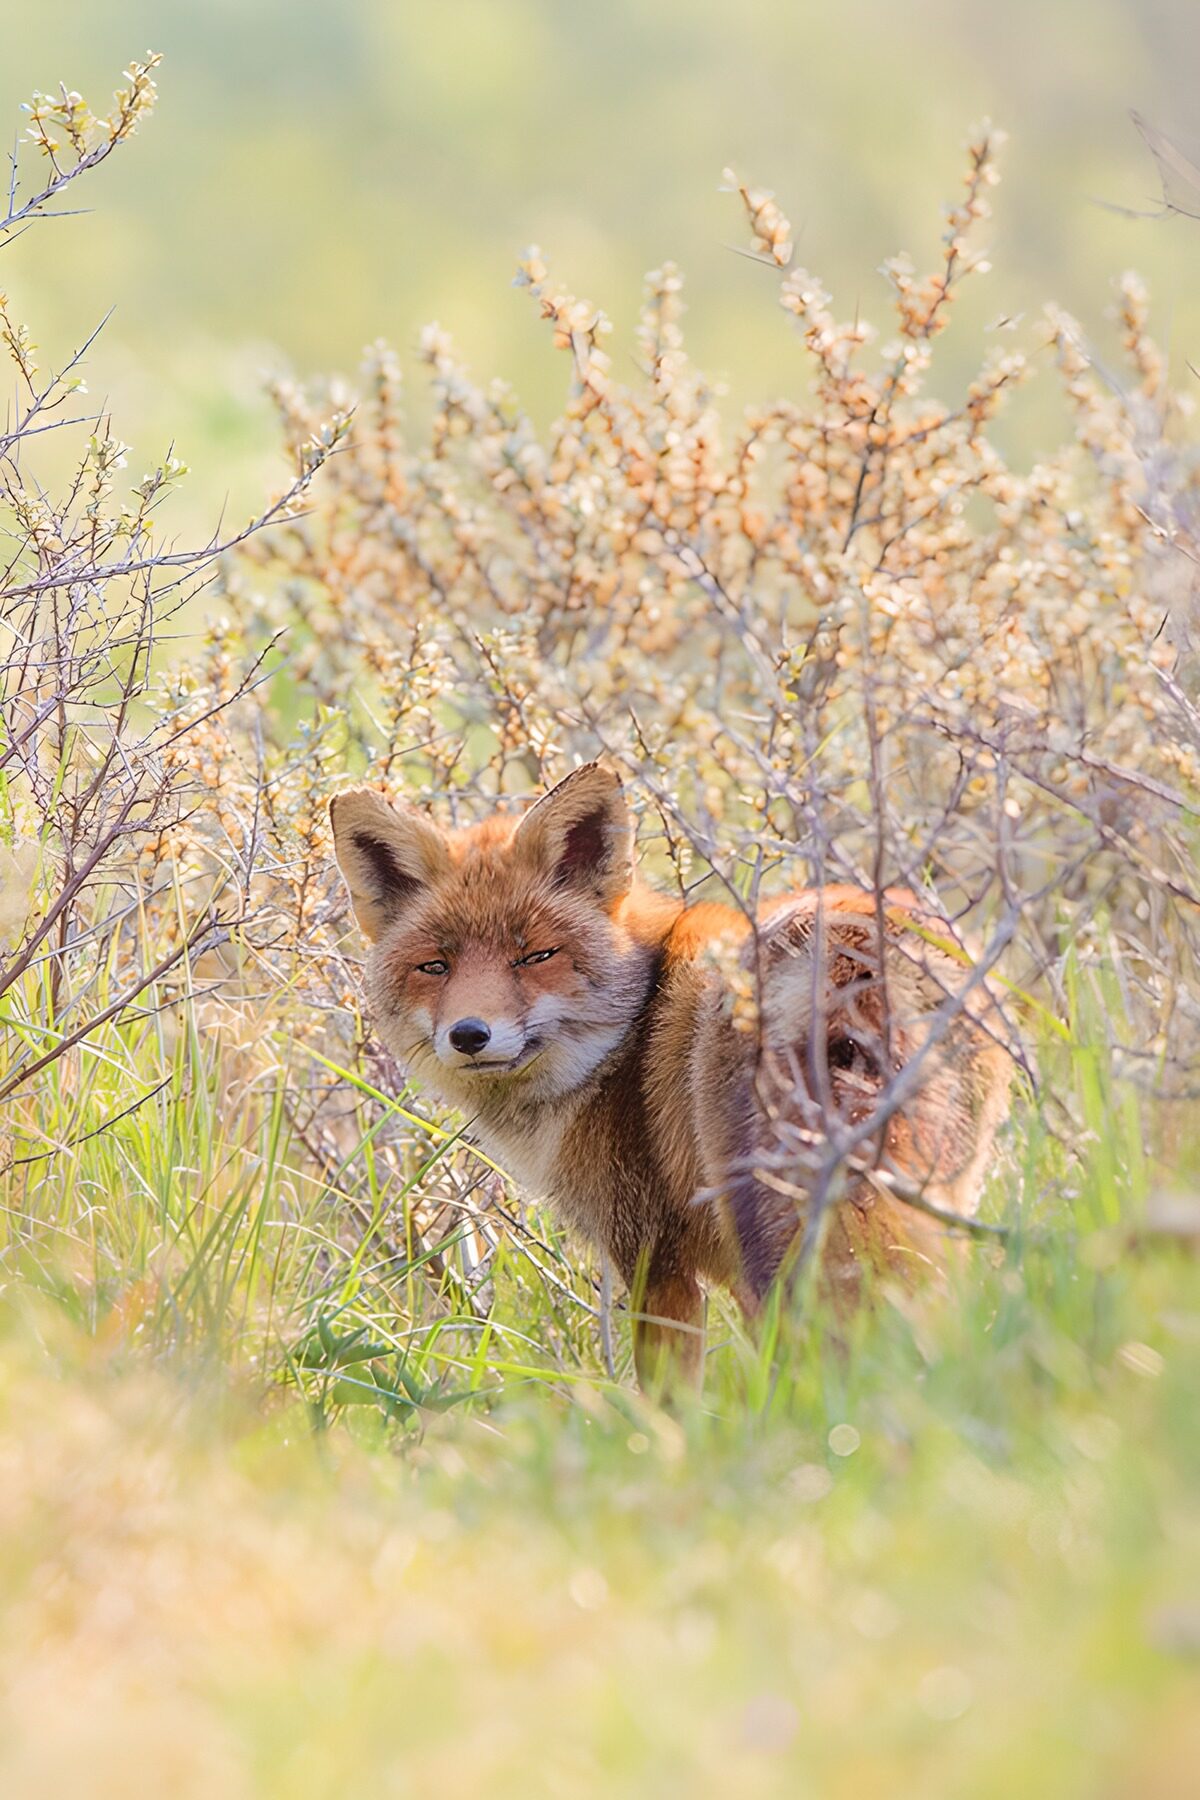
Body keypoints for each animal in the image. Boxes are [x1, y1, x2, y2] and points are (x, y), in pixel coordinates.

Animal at [330, 763, 1012, 1388]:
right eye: (434, 966)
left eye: (537, 955)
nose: (470, 1035)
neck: (624, 1037)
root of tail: (850, 949)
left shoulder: (654, 1256)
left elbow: (671, 1396)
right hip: (934, 1194)